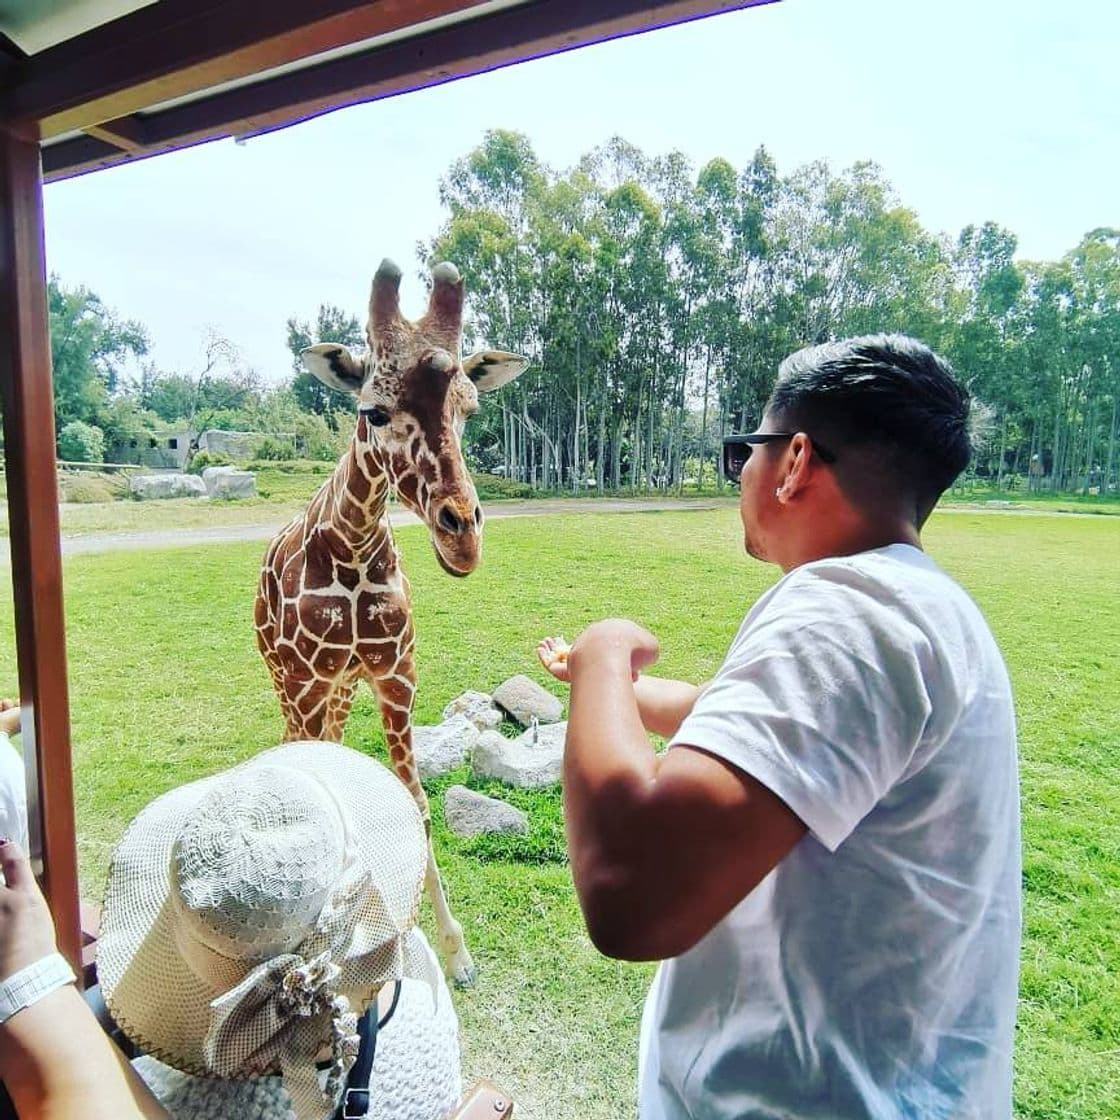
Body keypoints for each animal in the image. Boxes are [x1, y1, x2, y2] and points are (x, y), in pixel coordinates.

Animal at [256, 259, 526, 981]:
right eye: (372, 411)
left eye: (470, 409)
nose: (464, 538)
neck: (351, 549)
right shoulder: (306, 681)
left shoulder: (394, 674)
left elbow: (417, 801)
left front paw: (455, 951)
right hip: (288, 680)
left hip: (343, 687)